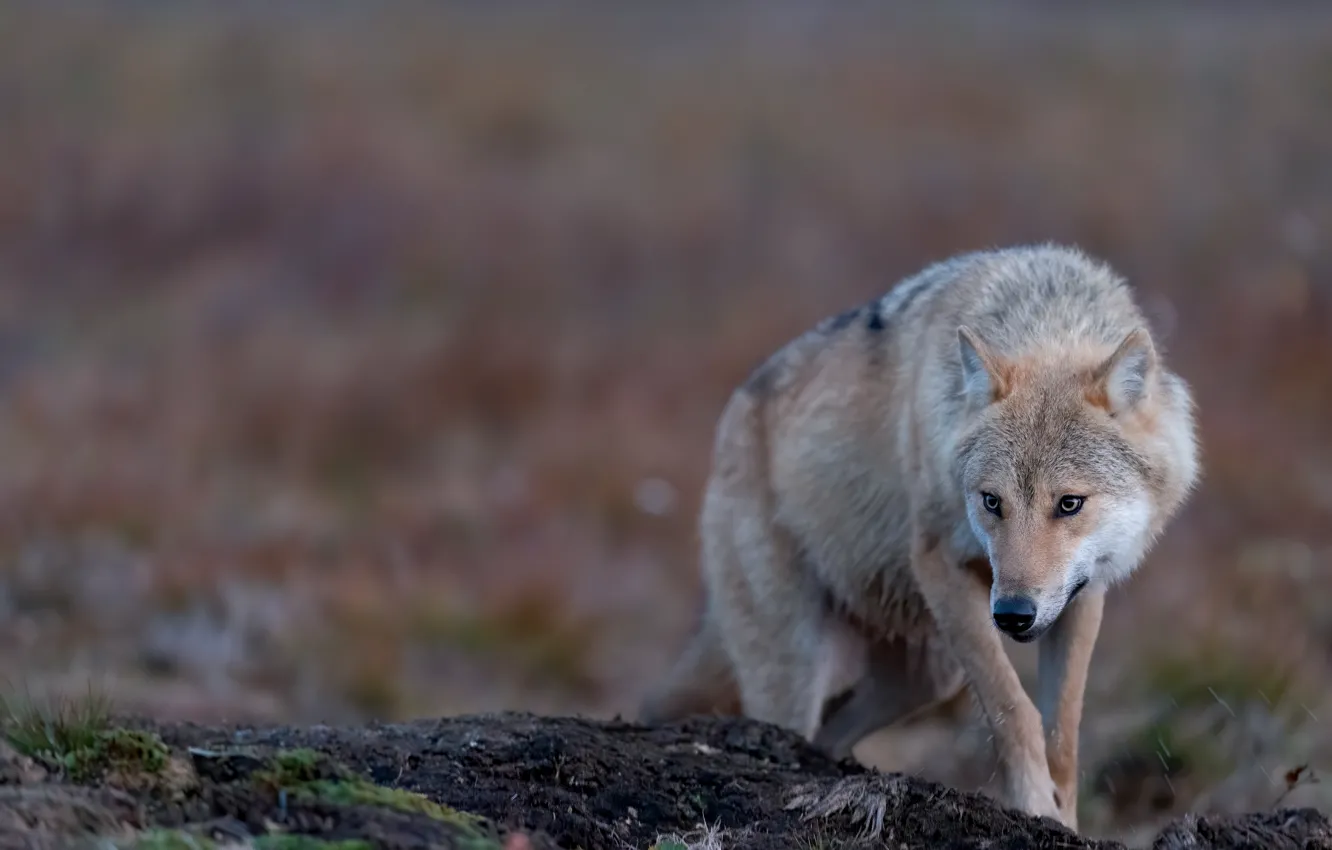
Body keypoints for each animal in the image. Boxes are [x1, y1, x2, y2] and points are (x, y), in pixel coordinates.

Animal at [638, 244, 1200, 829]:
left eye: (1069, 504)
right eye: (992, 502)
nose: (1013, 615)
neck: (1048, 320)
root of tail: (732, 414)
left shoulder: (1083, 595)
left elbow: (1062, 736)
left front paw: (1063, 822)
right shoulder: (940, 565)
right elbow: (1013, 709)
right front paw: (1033, 808)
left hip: (929, 674)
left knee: (833, 737)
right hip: (800, 665)